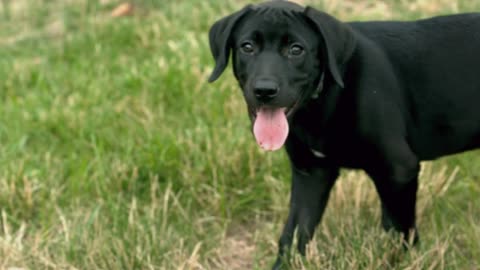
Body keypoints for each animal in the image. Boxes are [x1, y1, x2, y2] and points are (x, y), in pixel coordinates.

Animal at [207, 0, 480, 268]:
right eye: (247, 47)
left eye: (296, 49)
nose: (264, 90)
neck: (323, 97)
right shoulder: (311, 173)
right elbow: (293, 234)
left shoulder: (398, 170)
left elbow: (399, 233)